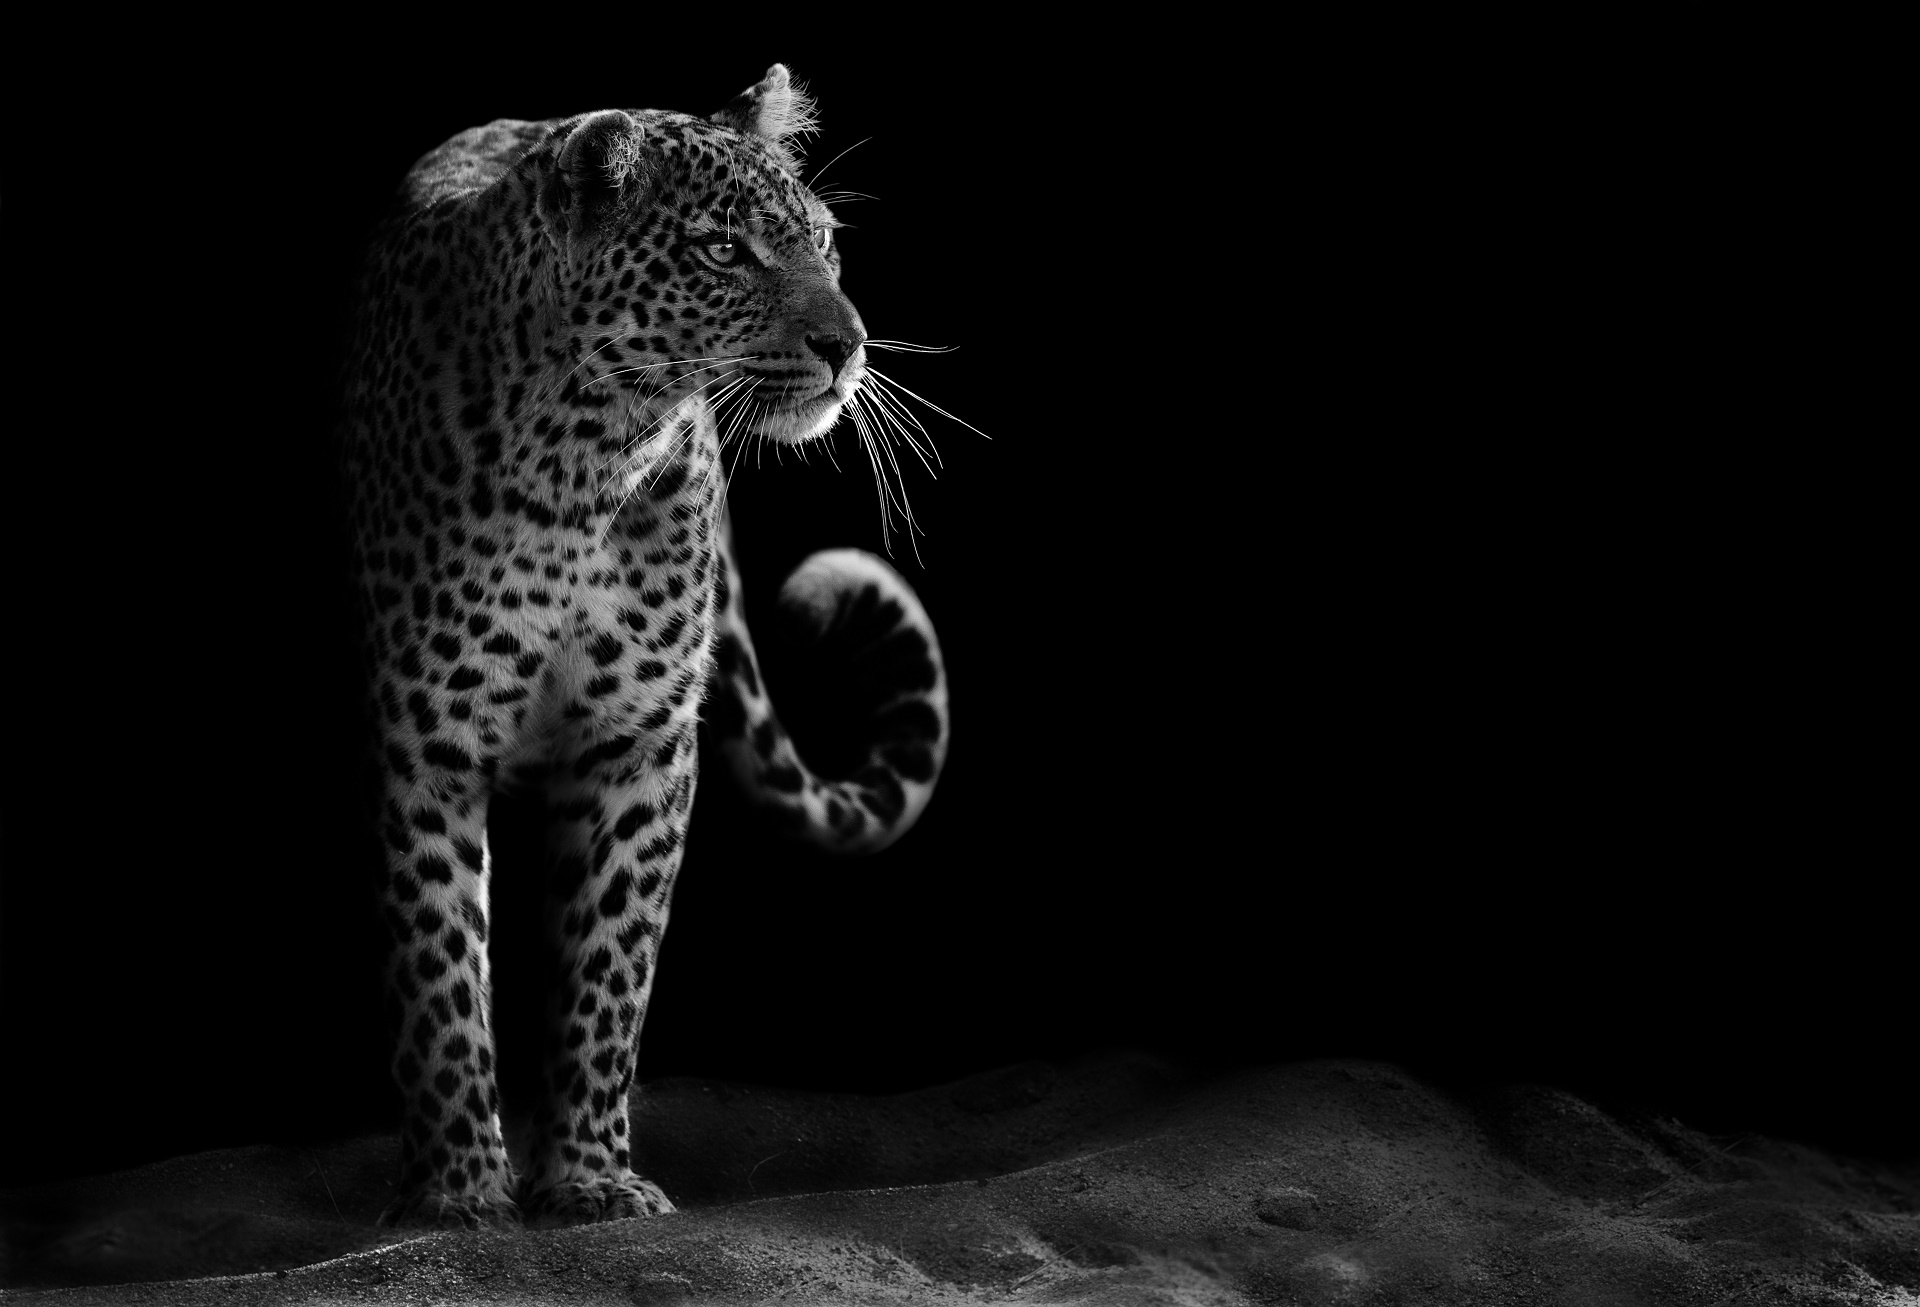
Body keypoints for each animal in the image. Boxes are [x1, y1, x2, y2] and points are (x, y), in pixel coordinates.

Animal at [339, 64, 949, 1228]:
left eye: (822, 240)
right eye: (722, 250)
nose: (847, 345)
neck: (587, 452)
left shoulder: (640, 743)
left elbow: (609, 966)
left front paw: (587, 1174)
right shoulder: (426, 738)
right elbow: (440, 966)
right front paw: (457, 1188)